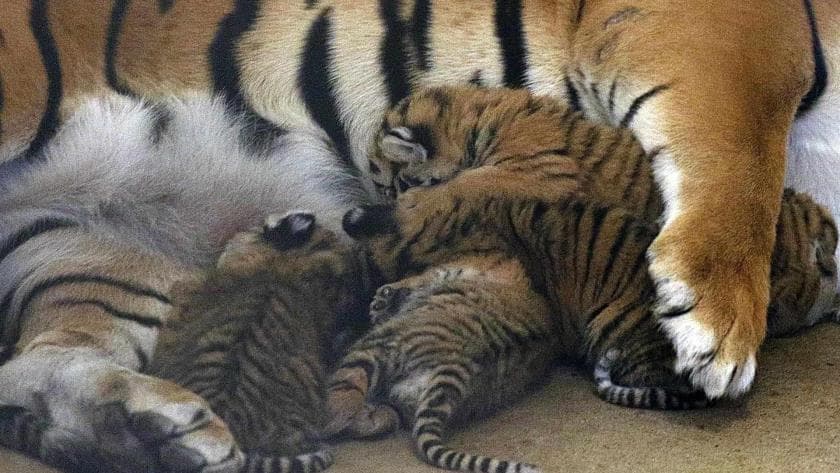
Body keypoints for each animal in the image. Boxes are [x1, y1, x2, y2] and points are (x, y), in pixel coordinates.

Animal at [325, 187, 838, 473]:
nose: (349, 215)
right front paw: (385, 294)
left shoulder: (483, 258)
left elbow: (431, 274)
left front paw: (386, 295)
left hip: (613, 331)